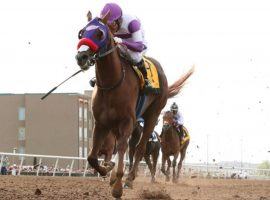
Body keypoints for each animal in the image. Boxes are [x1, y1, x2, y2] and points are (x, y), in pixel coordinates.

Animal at [75, 13, 194, 198]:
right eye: (81, 33)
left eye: (100, 34)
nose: (81, 57)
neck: (112, 83)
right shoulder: (101, 123)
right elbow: (92, 157)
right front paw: (106, 170)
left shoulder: (127, 121)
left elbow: (124, 149)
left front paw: (118, 186)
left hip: (153, 115)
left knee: (140, 148)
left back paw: (130, 179)